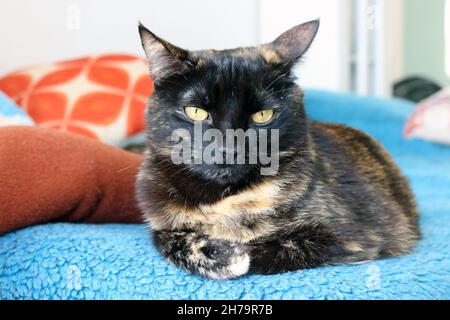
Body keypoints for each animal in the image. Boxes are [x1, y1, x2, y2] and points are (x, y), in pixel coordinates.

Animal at [135, 20, 420, 280]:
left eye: (262, 115)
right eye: (196, 111)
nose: (228, 148)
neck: (223, 199)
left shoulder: (355, 237)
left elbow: (278, 247)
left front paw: (234, 255)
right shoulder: (158, 220)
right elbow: (167, 239)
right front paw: (219, 254)